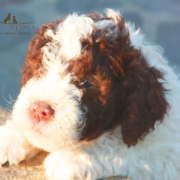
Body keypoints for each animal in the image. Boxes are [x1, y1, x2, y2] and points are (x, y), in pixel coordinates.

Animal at [0, 9, 180, 180]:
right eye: (40, 69)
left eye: (86, 82)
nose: (39, 110)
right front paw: (10, 137)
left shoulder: (167, 156)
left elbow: (121, 146)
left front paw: (72, 159)